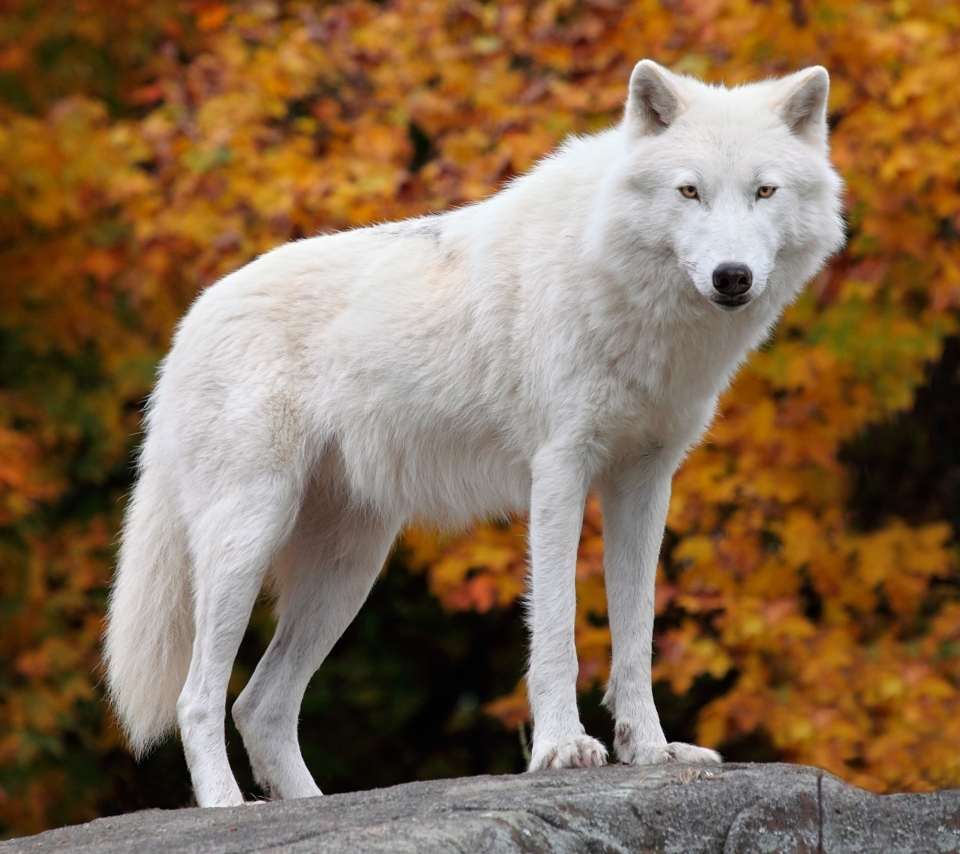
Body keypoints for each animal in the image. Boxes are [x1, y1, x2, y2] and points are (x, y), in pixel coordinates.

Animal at [103, 60, 840, 808]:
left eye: (764, 191)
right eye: (690, 190)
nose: (732, 277)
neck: (616, 280)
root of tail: (189, 324)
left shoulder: (645, 482)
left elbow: (636, 633)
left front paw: (650, 751)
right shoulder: (560, 471)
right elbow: (557, 627)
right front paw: (561, 749)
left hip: (347, 571)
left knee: (259, 705)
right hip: (248, 538)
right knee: (198, 698)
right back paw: (227, 809)